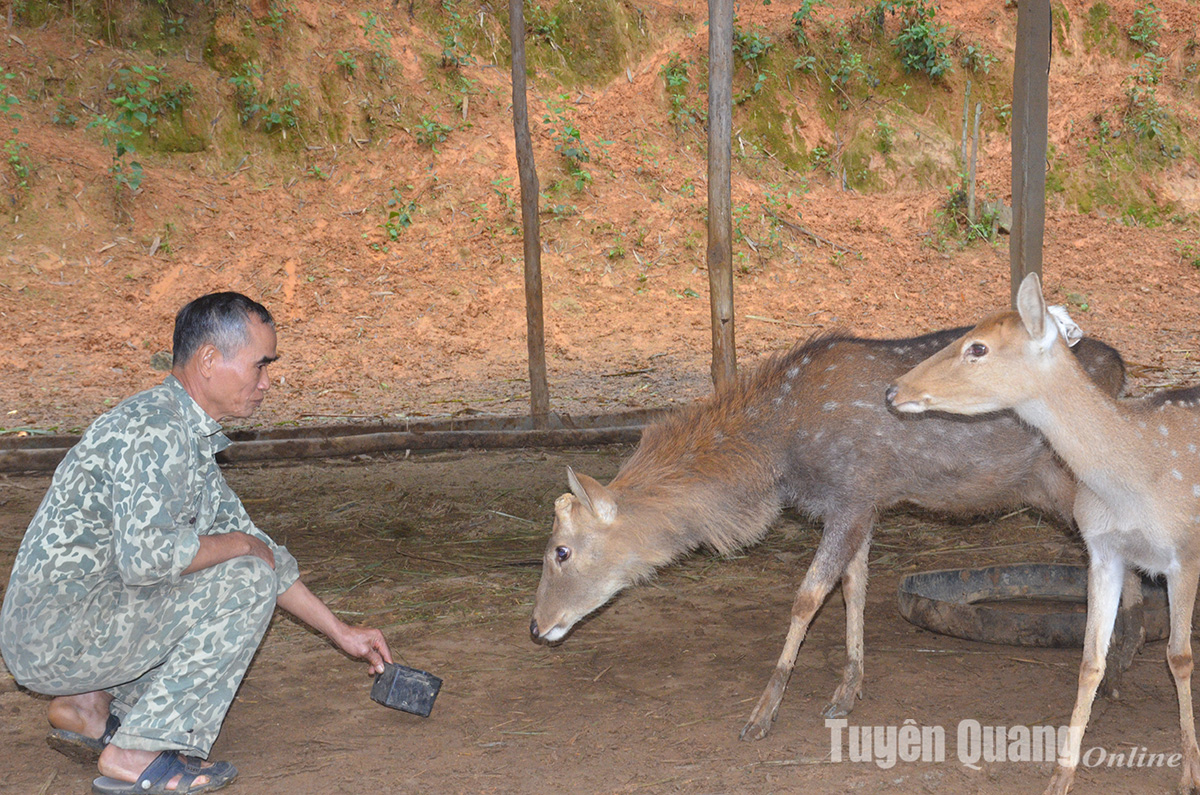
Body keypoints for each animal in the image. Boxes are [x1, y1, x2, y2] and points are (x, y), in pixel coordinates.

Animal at [528, 321, 1132, 744]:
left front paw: (762, 714)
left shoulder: (850, 494)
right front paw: (847, 690)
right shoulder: (863, 504)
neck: (778, 454)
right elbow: (855, 588)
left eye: (561, 551)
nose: (536, 628)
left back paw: (1119, 672)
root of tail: (1124, 369)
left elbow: (807, 596)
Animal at [883, 271, 1200, 792]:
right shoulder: (1102, 551)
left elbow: (1179, 656)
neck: (1133, 485)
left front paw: (1189, 774)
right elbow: (1091, 659)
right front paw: (1059, 777)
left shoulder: (1184, 551)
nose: (892, 391)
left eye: (978, 348)